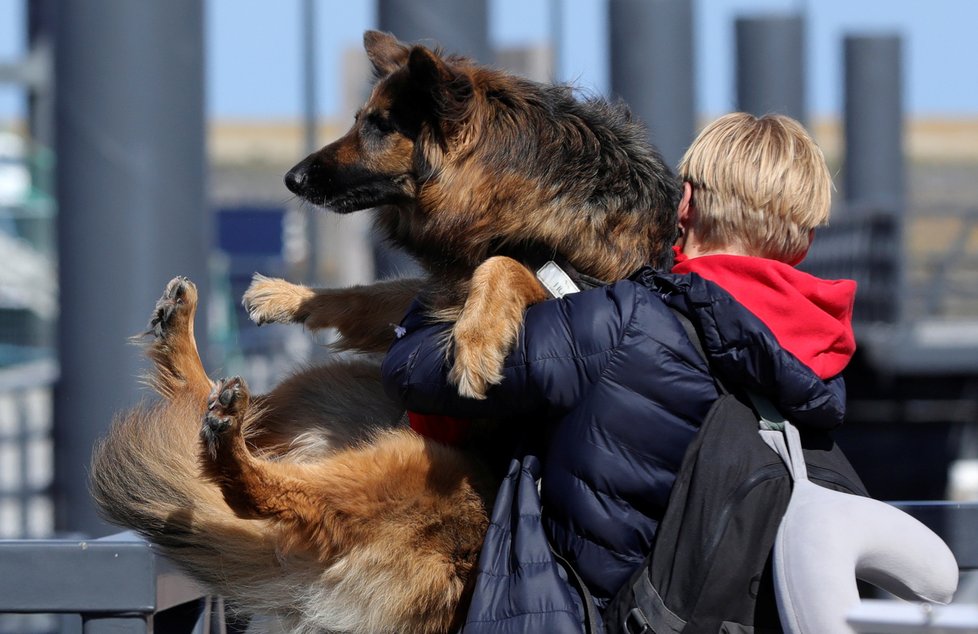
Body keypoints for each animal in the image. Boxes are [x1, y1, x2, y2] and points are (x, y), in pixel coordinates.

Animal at [93, 30, 680, 632]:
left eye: (378, 125)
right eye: (361, 119)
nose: (291, 178)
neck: (527, 178)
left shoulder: (572, 288)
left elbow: (502, 267)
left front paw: (474, 345)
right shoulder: (438, 288)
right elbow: (373, 295)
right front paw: (286, 295)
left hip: (410, 465)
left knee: (280, 497)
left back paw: (226, 435)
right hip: (328, 389)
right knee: (208, 413)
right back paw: (187, 349)